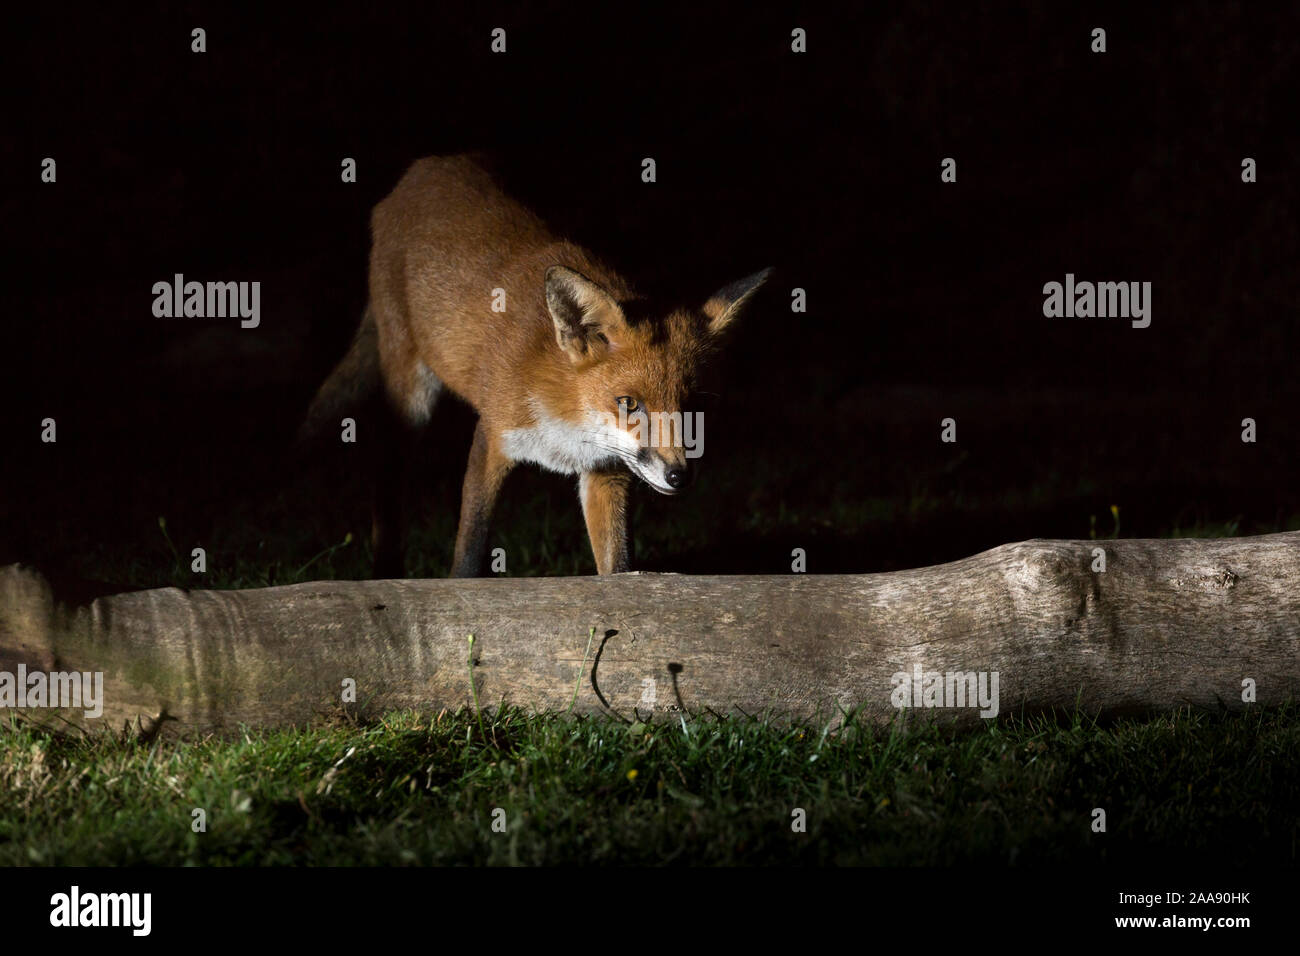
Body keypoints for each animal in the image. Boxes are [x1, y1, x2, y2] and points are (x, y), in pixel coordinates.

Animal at [301, 156, 769, 574]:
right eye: (629, 403)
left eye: (695, 406)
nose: (679, 476)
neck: (569, 417)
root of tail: (421, 169)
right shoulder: (493, 437)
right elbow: (469, 553)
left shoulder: (607, 471)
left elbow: (617, 565)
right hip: (411, 395)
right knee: (385, 477)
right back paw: (384, 569)